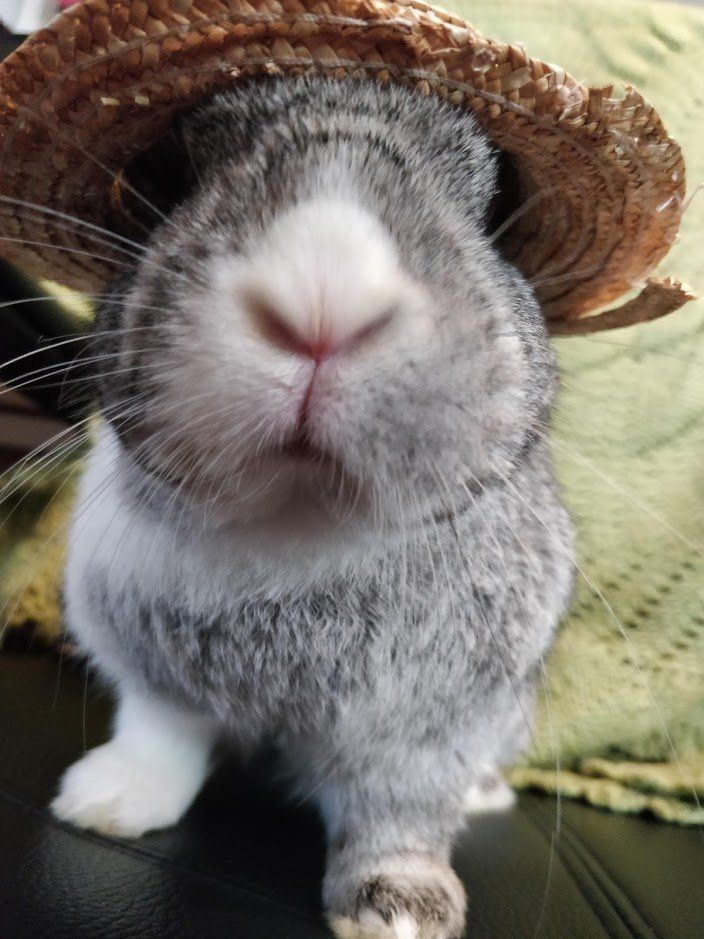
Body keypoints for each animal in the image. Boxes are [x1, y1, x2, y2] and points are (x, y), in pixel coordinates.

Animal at [52, 75, 576, 939]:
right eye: (170, 179)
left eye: (496, 211)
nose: (325, 291)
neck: (300, 524)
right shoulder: (154, 676)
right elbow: (160, 738)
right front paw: (103, 802)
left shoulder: (425, 734)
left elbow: (396, 819)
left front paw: (401, 912)